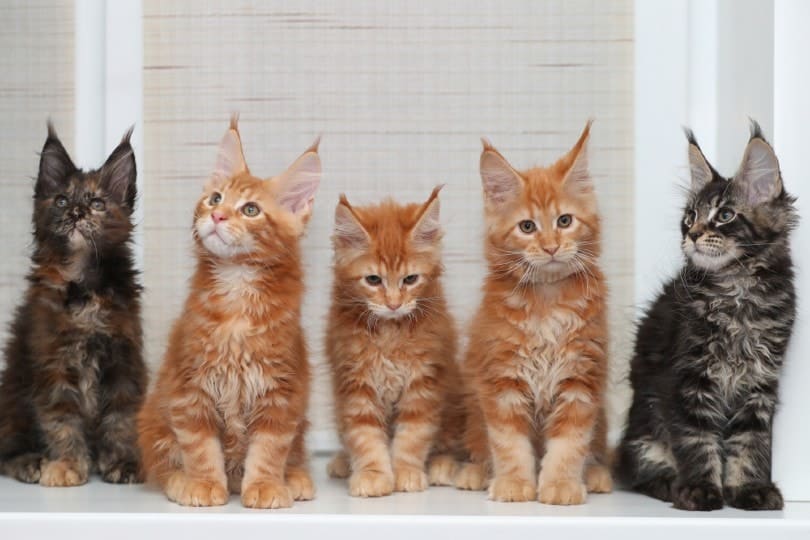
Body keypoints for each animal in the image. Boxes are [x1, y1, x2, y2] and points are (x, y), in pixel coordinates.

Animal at [0, 122, 147, 486]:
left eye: (97, 203)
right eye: (62, 200)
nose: (76, 213)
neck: (83, 287)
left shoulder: (123, 361)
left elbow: (121, 418)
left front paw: (122, 461)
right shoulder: (53, 361)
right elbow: (61, 419)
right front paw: (67, 464)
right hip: (12, 396)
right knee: (7, 447)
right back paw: (29, 462)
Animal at [136, 116, 318, 508]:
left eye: (251, 210)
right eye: (215, 198)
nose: (217, 216)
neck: (237, 287)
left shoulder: (281, 392)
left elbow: (269, 449)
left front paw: (265, 485)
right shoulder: (190, 388)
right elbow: (200, 447)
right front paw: (204, 483)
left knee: (293, 453)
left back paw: (294, 478)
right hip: (154, 419)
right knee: (162, 463)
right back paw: (180, 480)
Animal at [322, 188, 460, 496]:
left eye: (410, 279)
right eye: (373, 279)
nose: (394, 304)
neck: (389, 333)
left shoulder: (424, 381)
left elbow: (413, 435)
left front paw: (406, 472)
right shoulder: (355, 383)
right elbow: (365, 436)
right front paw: (373, 474)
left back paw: (442, 466)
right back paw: (342, 462)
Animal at [454, 123, 612, 506]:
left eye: (565, 220)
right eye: (527, 227)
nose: (551, 247)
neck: (547, 299)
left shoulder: (581, 379)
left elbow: (570, 443)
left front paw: (560, 485)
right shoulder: (501, 380)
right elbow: (508, 443)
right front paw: (513, 483)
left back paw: (596, 474)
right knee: (479, 444)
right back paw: (474, 472)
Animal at [612, 122, 796, 510]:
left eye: (725, 215)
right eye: (689, 217)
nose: (693, 235)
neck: (737, 291)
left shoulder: (760, 383)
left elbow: (751, 440)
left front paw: (749, 488)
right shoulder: (686, 378)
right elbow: (696, 440)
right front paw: (700, 489)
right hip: (643, 427)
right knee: (642, 469)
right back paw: (669, 483)